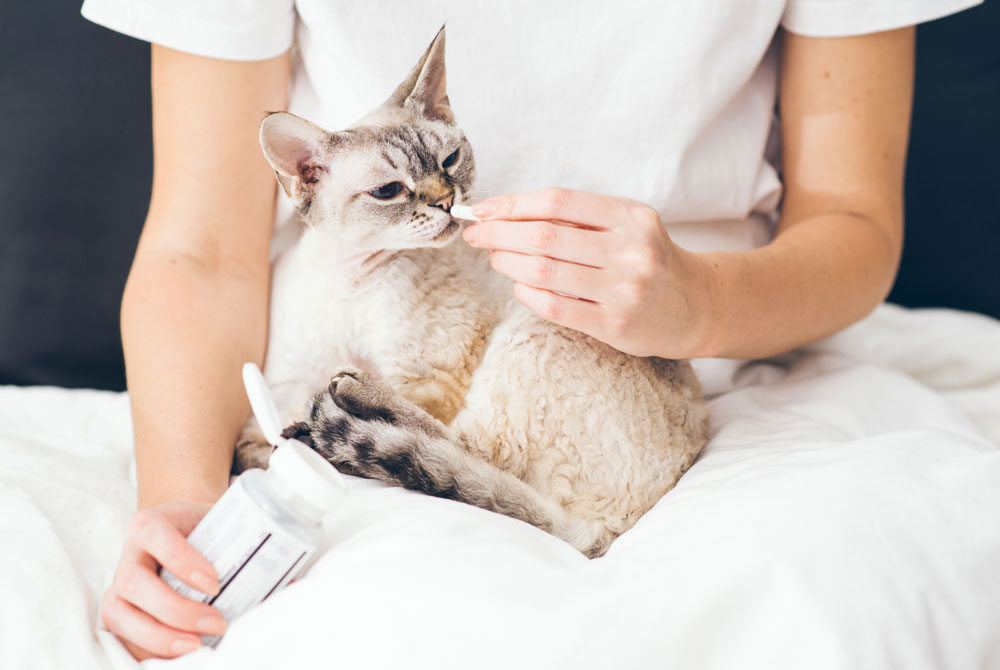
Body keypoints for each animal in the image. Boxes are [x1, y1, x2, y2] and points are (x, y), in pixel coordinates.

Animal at [234, 27, 708, 560]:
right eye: (389, 191)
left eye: (450, 161)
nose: (446, 201)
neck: (348, 277)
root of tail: (609, 533)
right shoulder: (295, 375)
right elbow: (254, 434)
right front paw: (271, 444)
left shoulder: (429, 377)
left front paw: (307, 426)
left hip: (533, 332)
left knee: (462, 455)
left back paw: (344, 407)